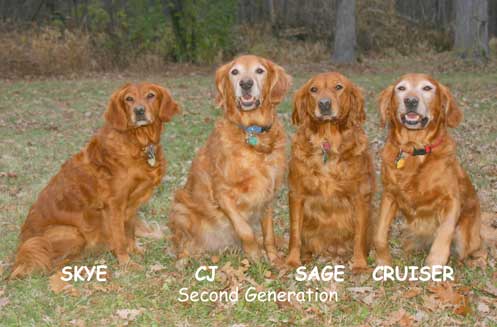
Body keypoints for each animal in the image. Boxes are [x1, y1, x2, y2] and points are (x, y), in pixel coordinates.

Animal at [9, 83, 178, 278]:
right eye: (129, 99)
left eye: (151, 95)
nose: (139, 111)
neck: (137, 141)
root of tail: (20, 250)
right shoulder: (114, 204)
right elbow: (120, 238)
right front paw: (126, 263)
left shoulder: (131, 204)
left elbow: (129, 232)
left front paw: (135, 251)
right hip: (70, 234)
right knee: (50, 263)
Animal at [168, 55, 290, 262]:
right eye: (235, 72)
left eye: (260, 70)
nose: (246, 83)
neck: (251, 132)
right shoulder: (223, 193)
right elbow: (245, 230)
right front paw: (254, 256)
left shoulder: (269, 194)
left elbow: (269, 234)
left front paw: (274, 259)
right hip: (180, 208)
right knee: (181, 244)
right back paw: (185, 259)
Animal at [282, 72, 372, 272]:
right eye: (313, 89)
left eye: (338, 87)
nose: (324, 104)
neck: (327, 141)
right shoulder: (297, 194)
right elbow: (294, 232)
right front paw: (292, 261)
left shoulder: (360, 196)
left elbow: (360, 235)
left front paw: (360, 264)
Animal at [376, 73, 480, 266]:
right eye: (401, 88)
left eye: (427, 88)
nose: (410, 101)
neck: (416, 149)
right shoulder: (389, 196)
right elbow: (379, 234)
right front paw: (383, 263)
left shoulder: (451, 200)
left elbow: (444, 234)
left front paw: (435, 264)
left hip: (465, 237)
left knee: (477, 251)